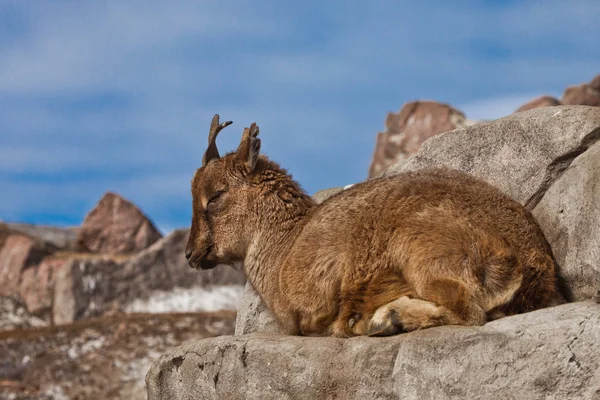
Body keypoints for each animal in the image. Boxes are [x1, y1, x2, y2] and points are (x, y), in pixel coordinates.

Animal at [185, 115, 564, 338]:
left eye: (215, 196)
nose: (191, 253)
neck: (285, 245)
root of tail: (525, 261)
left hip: (421, 249)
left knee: (467, 310)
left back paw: (388, 319)